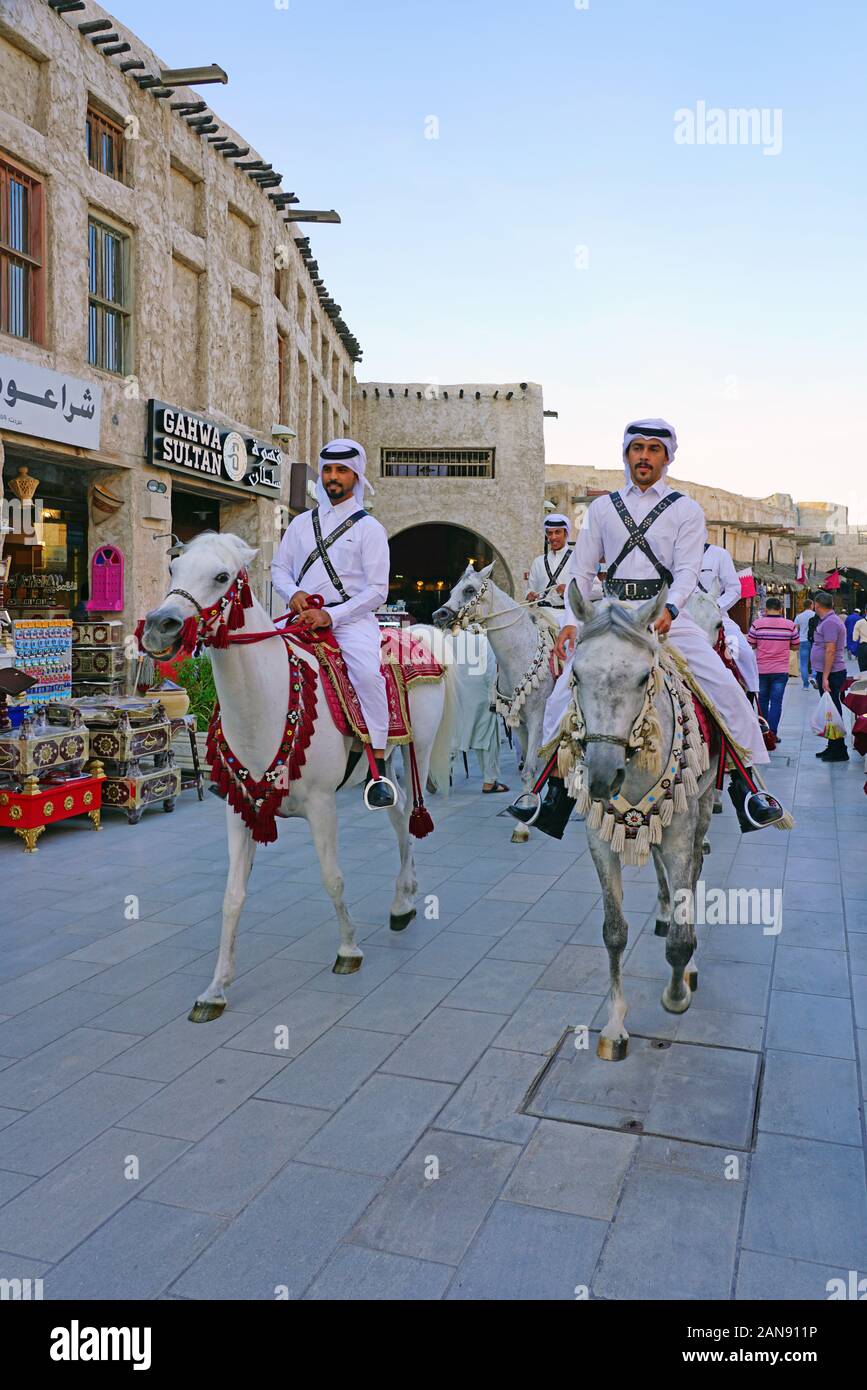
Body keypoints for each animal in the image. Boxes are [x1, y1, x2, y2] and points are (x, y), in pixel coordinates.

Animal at [138, 530, 458, 1023]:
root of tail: (417, 634)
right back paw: (403, 901)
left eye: (222, 576)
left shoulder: (323, 807)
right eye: (173, 569)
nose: (159, 626)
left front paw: (348, 950)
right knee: (399, 812)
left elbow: (332, 878)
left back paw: (403, 899)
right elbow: (232, 897)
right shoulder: (240, 810)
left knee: (411, 816)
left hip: (417, 750)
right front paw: (215, 989)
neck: (266, 704)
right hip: (387, 763)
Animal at [430, 564, 555, 834]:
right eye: (452, 590)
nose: (439, 615)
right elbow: (528, 770)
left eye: (469, 590)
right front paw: (526, 812)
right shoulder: (518, 721)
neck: (521, 651)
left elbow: (532, 766)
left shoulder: (538, 718)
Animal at [566, 581, 716, 1056]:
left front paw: (676, 993)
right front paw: (615, 1024)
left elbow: (681, 940)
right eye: (576, 675)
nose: (601, 776)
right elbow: (613, 931)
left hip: (702, 810)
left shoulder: (681, 832)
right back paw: (665, 909)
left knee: (694, 870)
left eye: (640, 677)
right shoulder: (599, 838)